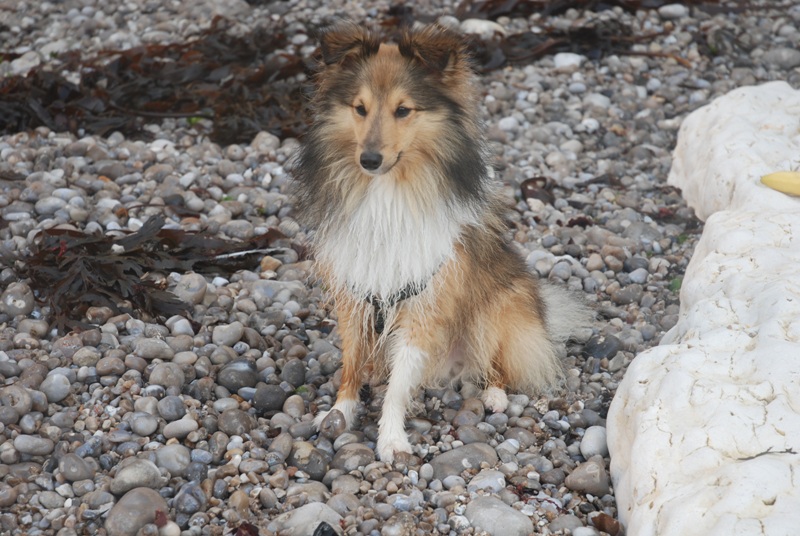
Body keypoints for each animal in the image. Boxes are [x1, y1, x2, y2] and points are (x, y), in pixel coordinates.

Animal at [292, 23, 588, 462]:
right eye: (360, 108)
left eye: (403, 110)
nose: (369, 160)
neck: (389, 193)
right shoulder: (356, 290)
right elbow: (351, 360)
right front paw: (339, 411)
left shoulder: (425, 300)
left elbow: (400, 383)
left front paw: (391, 439)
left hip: (499, 303)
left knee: (499, 363)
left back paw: (495, 395)